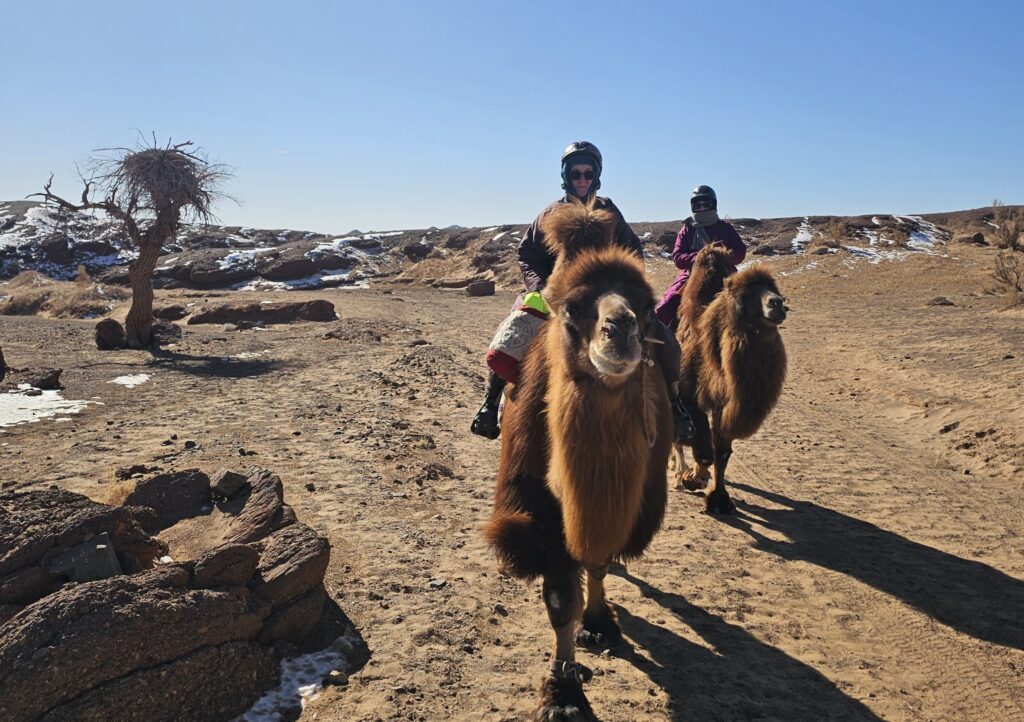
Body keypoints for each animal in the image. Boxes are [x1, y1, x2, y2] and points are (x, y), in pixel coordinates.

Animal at [484, 200, 672, 721]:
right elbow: (559, 598)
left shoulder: (630, 503)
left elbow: (600, 562)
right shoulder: (539, 511)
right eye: (572, 308)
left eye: (646, 307)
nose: (620, 329)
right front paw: (563, 691)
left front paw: (600, 623)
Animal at [671, 244, 788, 514]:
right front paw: (694, 478)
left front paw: (719, 499)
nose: (777, 304)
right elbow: (704, 450)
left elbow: (721, 453)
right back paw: (678, 473)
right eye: (744, 297)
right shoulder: (688, 397)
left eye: (776, 291)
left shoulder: (725, 403)